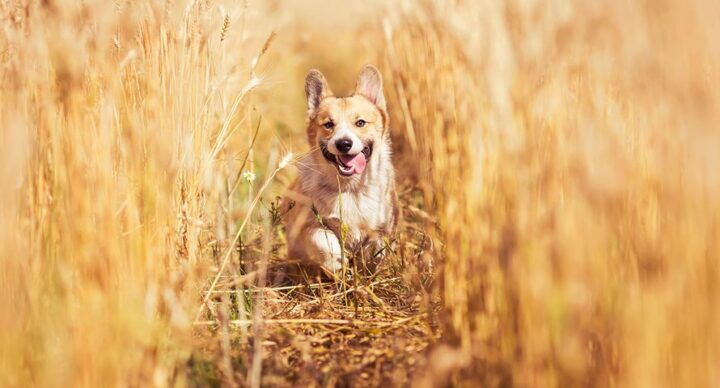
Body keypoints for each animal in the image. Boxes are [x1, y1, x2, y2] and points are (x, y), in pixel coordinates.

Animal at [284, 66, 400, 272]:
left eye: (360, 123)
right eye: (328, 124)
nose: (344, 144)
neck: (350, 187)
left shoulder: (380, 229)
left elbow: (375, 250)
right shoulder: (308, 225)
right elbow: (324, 241)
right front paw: (337, 264)